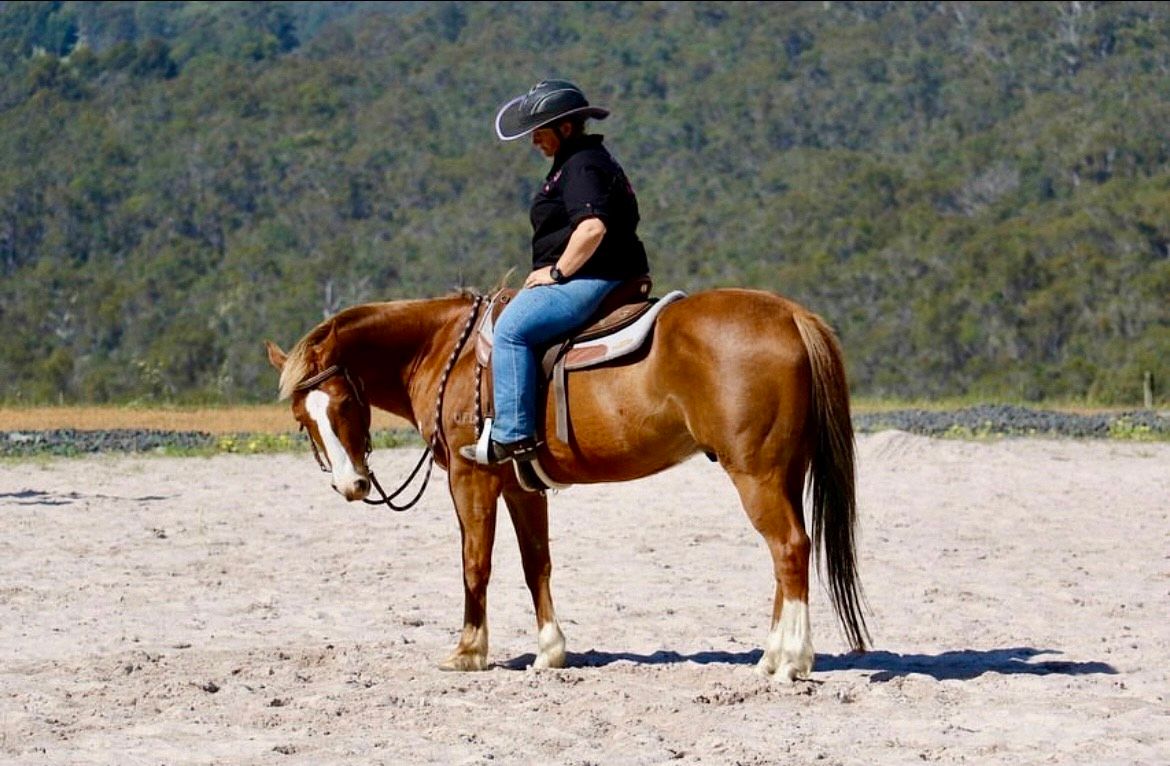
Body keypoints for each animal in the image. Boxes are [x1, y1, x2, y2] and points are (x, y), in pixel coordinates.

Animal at [264, 286, 869, 682]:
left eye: (344, 403)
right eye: (300, 418)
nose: (352, 484)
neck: (446, 352)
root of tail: (791, 315)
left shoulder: (470, 476)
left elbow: (474, 563)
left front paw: (468, 651)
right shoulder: (519, 486)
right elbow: (537, 563)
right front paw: (550, 652)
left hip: (756, 475)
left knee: (788, 548)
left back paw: (792, 661)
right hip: (782, 472)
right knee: (785, 555)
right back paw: (771, 655)